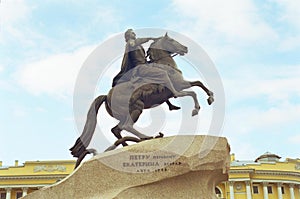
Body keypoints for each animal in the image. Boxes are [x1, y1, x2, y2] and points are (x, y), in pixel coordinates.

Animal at [69, 33, 213, 168]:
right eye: (171, 40)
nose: (185, 48)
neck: (164, 65)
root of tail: (107, 96)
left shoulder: (181, 85)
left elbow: (198, 84)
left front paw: (208, 98)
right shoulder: (180, 85)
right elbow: (195, 89)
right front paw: (201, 105)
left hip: (126, 114)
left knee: (116, 129)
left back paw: (126, 145)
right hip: (137, 107)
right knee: (126, 126)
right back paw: (145, 137)